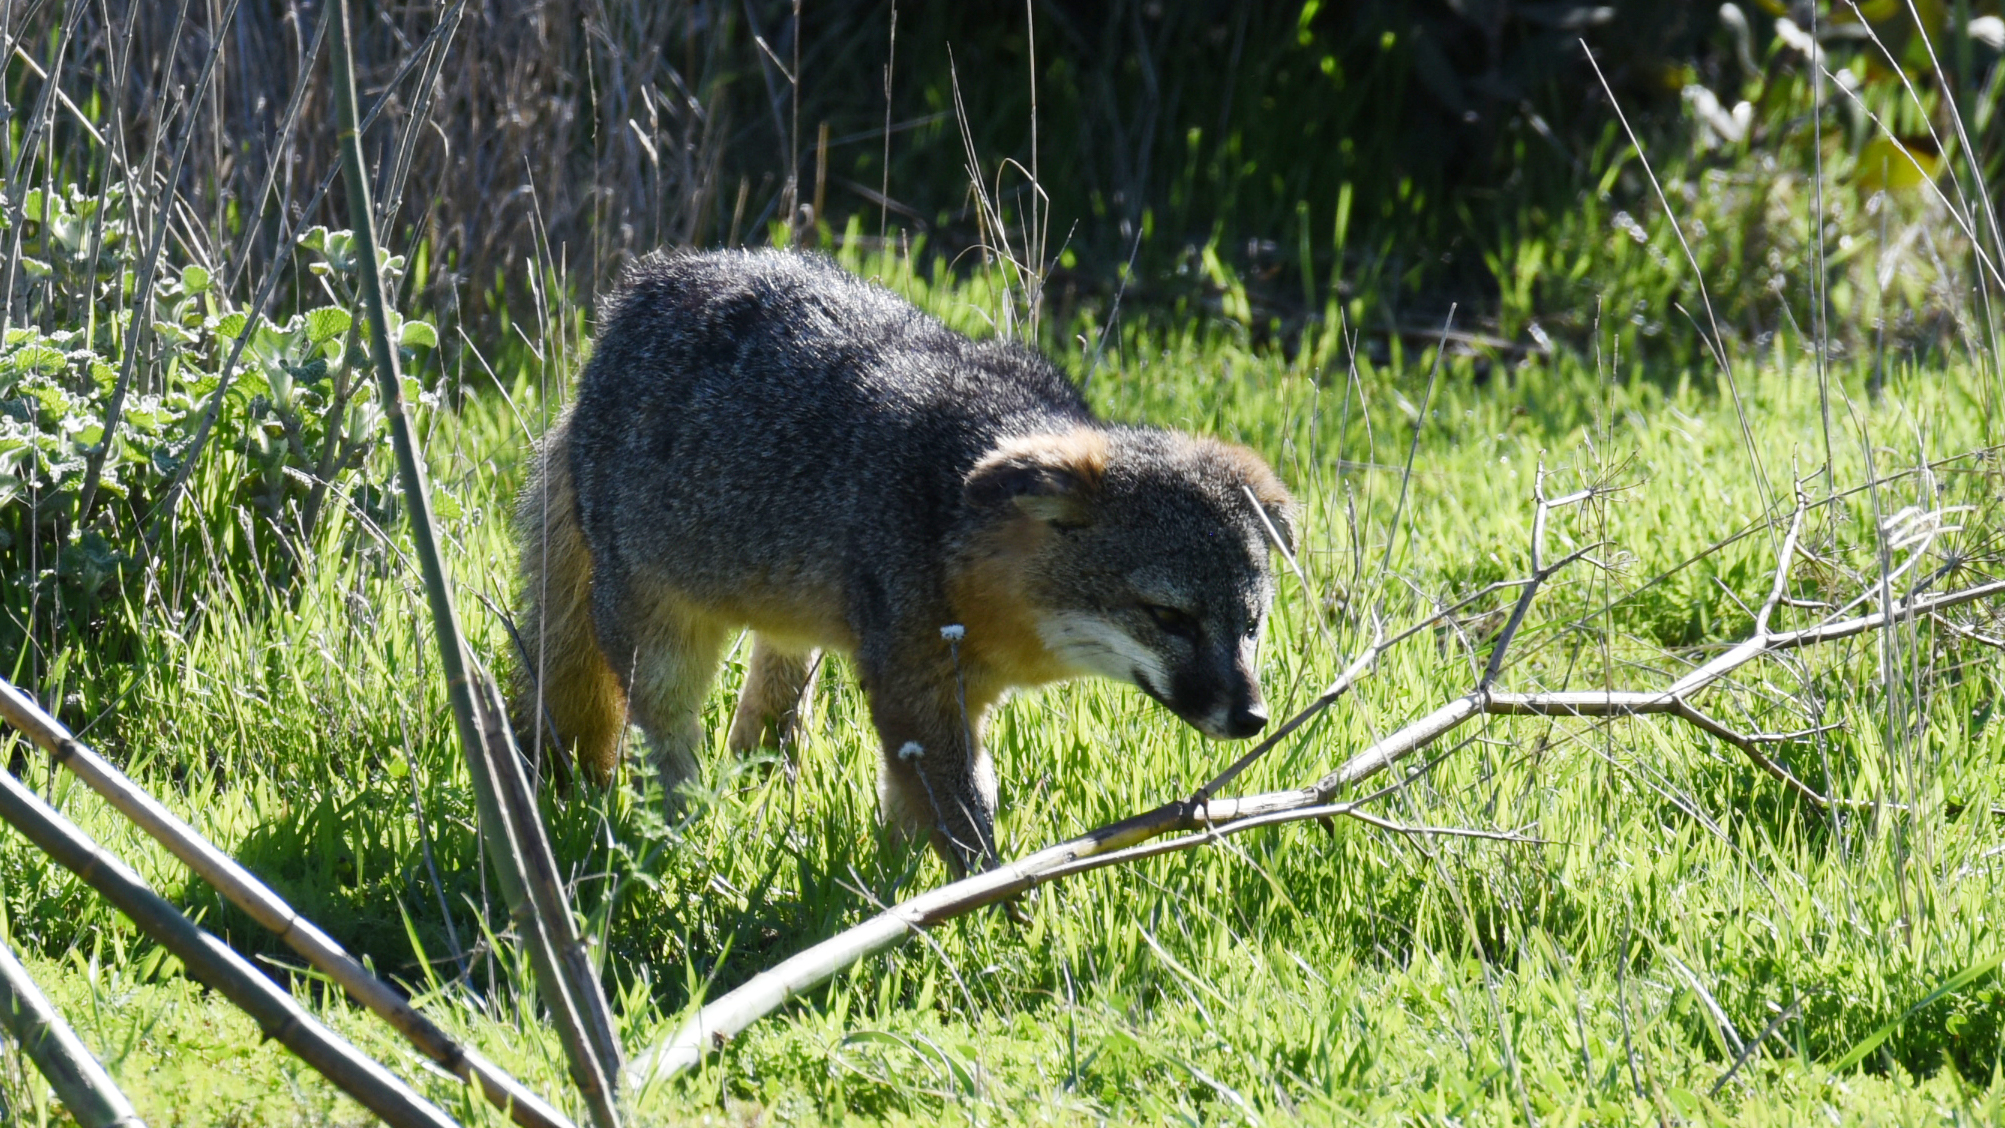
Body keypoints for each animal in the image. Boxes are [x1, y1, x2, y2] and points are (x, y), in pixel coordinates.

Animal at [513, 251, 1299, 877]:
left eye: (1250, 627)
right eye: (1170, 617)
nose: (1252, 717)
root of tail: (639, 288)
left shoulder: (953, 701)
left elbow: (922, 810)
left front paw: (896, 895)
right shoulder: (914, 691)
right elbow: (966, 818)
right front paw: (990, 911)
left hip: (793, 633)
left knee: (765, 720)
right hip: (663, 652)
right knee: (665, 752)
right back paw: (681, 838)